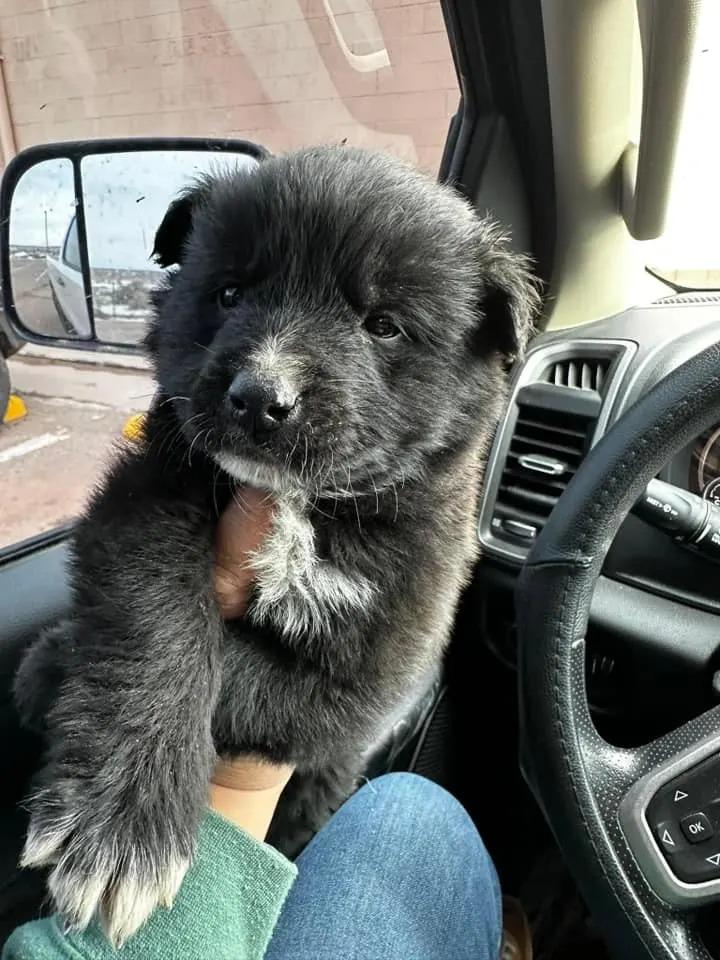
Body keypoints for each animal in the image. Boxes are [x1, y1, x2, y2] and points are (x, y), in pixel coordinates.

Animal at [14, 150, 536, 944]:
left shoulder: (369, 672)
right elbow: (160, 617)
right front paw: (123, 811)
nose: (259, 397)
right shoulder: (149, 490)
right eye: (230, 293)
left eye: (384, 325)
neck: (297, 505)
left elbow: (242, 673)